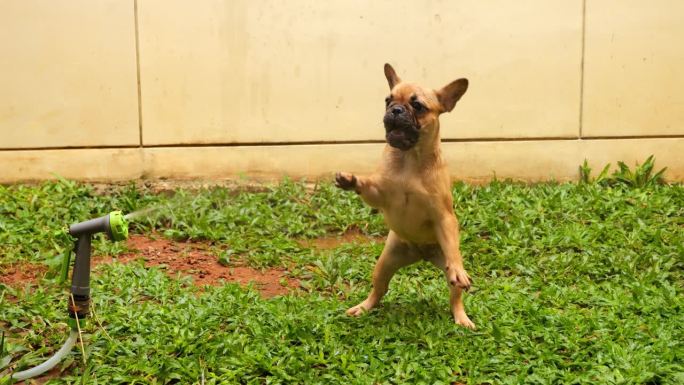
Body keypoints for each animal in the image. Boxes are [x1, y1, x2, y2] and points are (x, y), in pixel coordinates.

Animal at [332, 62, 472, 328]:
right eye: (388, 100)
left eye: (418, 106)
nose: (395, 110)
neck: (410, 158)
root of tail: (421, 254)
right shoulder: (379, 194)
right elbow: (368, 187)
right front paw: (351, 180)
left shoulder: (444, 217)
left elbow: (450, 238)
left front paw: (458, 269)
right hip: (386, 263)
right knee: (379, 289)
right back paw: (363, 308)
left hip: (445, 267)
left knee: (455, 295)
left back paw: (461, 317)